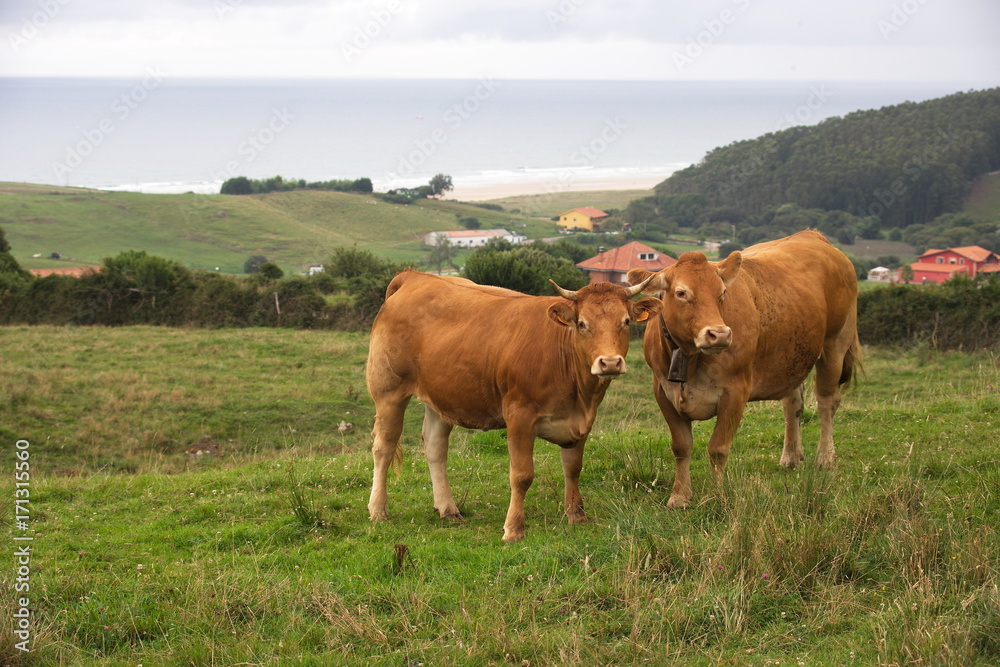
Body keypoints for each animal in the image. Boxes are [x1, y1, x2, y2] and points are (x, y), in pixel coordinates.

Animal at [368, 270, 664, 544]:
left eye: (626, 321)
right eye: (582, 324)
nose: (610, 362)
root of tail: (415, 276)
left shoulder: (580, 421)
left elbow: (573, 468)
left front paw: (576, 515)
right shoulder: (519, 416)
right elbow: (522, 475)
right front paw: (514, 528)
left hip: (441, 394)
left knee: (435, 448)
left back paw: (447, 508)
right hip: (388, 391)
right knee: (384, 447)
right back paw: (378, 510)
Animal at [628, 232, 864, 508]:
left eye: (722, 293)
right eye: (681, 292)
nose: (719, 334)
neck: (690, 358)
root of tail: (812, 235)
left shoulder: (735, 392)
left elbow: (718, 449)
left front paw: (718, 495)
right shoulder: (664, 392)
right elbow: (681, 447)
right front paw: (680, 496)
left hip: (836, 344)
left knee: (827, 403)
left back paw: (825, 457)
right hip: (792, 358)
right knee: (793, 404)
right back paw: (791, 456)